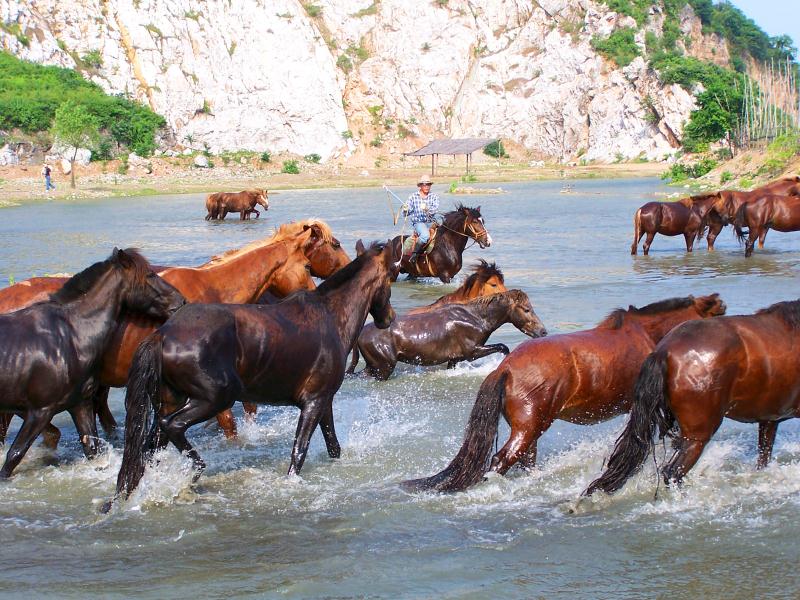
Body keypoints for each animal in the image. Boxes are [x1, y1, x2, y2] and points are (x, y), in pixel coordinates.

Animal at [0, 248, 187, 478]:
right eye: (150, 274)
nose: (180, 301)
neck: (71, 334)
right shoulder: (39, 411)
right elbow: (14, 455)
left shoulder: (79, 404)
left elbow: (92, 449)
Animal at [104, 241, 398, 508]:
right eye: (390, 279)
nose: (389, 318)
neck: (331, 316)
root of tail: (163, 335)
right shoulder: (314, 402)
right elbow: (299, 451)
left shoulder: (324, 401)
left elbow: (333, 446)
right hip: (215, 398)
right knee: (172, 426)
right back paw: (196, 471)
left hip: (170, 400)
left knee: (149, 448)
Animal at [406, 292, 724, 494]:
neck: (645, 334)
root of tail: (504, 369)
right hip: (530, 427)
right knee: (501, 461)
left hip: (529, 429)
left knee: (525, 460)